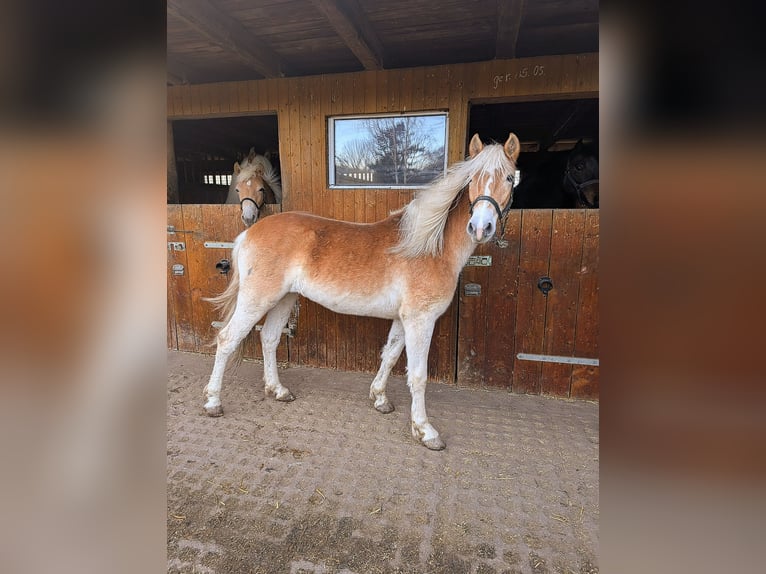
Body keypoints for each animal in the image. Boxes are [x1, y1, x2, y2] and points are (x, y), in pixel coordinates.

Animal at [204, 134, 520, 450]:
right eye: (472, 179)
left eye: (509, 178)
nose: (480, 227)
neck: (430, 246)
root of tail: (248, 233)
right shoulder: (420, 320)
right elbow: (418, 376)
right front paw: (425, 430)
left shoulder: (403, 319)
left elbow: (389, 356)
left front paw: (379, 399)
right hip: (257, 299)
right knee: (227, 339)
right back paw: (212, 402)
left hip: (284, 299)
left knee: (269, 339)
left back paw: (278, 390)